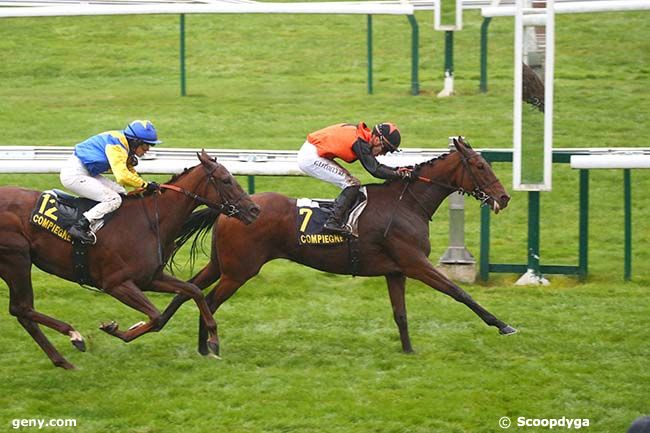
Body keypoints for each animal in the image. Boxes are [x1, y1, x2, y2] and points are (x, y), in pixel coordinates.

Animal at [0, 149, 258, 368]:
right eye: (226, 180)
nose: (255, 210)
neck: (150, 222)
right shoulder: (116, 284)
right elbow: (155, 315)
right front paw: (115, 329)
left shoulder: (150, 278)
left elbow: (192, 291)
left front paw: (213, 339)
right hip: (16, 259)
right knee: (21, 308)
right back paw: (74, 335)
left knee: (22, 312)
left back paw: (63, 361)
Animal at [163, 138, 516, 354]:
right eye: (481, 166)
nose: (504, 197)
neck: (407, 203)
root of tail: (232, 209)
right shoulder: (415, 263)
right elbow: (459, 292)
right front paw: (503, 325)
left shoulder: (396, 271)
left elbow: (400, 313)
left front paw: (408, 350)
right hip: (239, 271)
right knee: (208, 299)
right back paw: (207, 345)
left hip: (222, 264)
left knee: (189, 290)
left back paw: (175, 332)